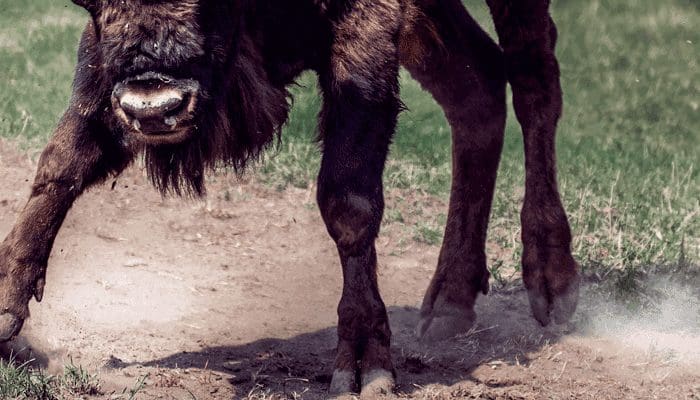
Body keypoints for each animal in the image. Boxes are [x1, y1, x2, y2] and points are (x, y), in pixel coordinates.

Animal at [0, 0, 580, 394]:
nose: (154, 104)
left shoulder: (365, 32)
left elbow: (348, 199)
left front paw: (364, 366)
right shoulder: (103, 67)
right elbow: (64, 156)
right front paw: (7, 314)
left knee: (534, 78)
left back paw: (553, 284)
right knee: (477, 88)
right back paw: (449, 305)